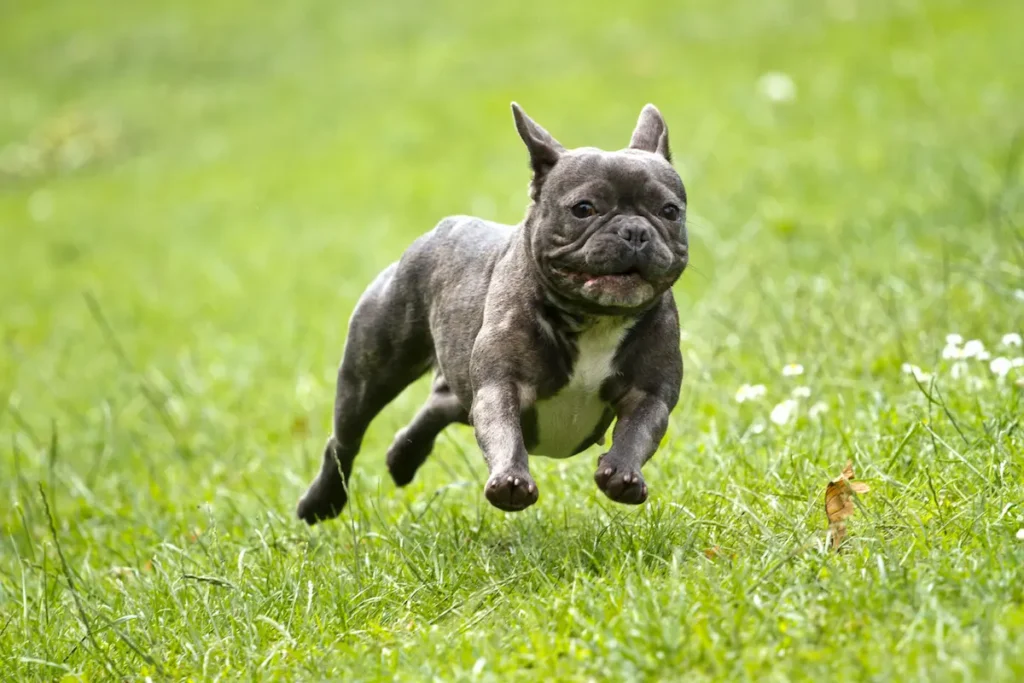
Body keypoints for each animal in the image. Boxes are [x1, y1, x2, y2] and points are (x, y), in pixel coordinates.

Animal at [299, 102, 692, 524]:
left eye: (670, 211)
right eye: (584, 209)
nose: (635, 230)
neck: (594, 318)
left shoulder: (650, 394)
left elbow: (637, 433)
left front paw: (622, 474)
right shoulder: (500, 386)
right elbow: (504, 432)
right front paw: (511, 481)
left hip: (454, 379)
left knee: (440, 403)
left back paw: (402, 458)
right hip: (373, 370)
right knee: (344, 439)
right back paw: (321, 501)